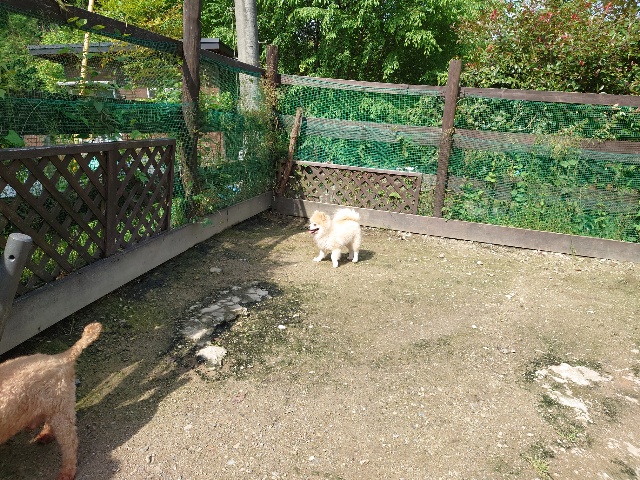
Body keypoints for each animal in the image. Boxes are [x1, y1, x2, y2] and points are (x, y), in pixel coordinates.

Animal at [0, 322, 102, 480]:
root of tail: (61, 358)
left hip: (60, 410)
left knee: (70, 443)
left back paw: (67, 472)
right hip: (51, 406)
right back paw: (46, 434)